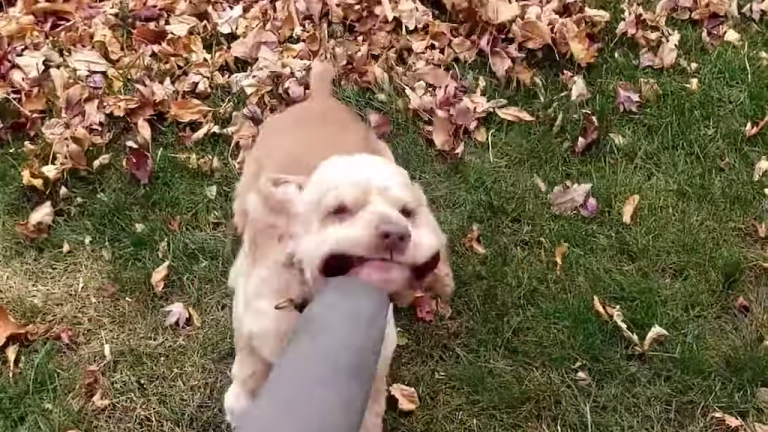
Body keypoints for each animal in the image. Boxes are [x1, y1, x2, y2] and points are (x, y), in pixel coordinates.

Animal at [225, 59, 452, 430]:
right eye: (338, 211)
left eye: (407, 212)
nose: (397, 233)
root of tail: (320, 97)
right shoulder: (248, 321)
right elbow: (249, 362)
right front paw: (241, 401)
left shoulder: (378, 358)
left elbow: (372, 399)